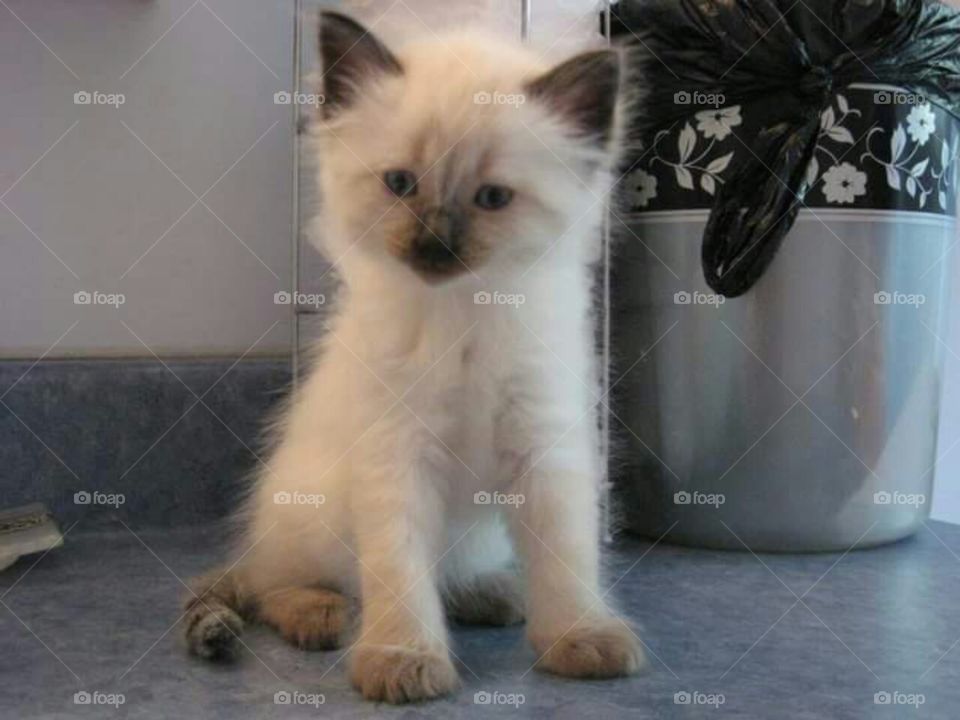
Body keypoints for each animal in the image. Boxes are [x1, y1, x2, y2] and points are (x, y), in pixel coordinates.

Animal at [184, 9, 640, 704]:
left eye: (492, 198)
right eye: (400, 184)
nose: (433, 245)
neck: (462, 314)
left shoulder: (545, 446)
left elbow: (565, 558)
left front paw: (580, 638)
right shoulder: (395, 454)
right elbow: (398, 572)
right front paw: (401, 659)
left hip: (479, 535)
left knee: (454, 578)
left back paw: (493, 595)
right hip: (308, 518)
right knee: (273, 584)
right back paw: (320, 615)